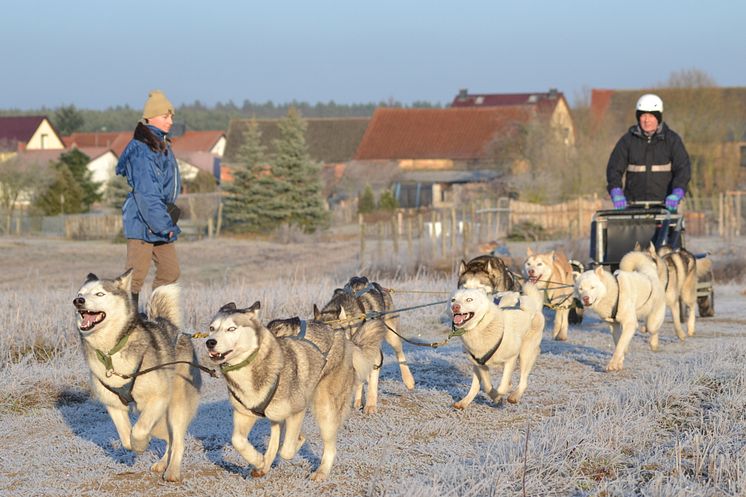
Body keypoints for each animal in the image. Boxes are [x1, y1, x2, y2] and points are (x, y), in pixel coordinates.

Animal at [72, 270, 201, 482]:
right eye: (80, 293)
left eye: (100, 294)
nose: (78, 301)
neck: (110, 352)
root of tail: (173, 327)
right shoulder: (113, 405)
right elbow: (126, 438)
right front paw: (134, 444)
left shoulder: (158, 397)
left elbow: (139, 431)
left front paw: (141, 444)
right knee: (168, 437)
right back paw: (162, 463)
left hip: (176, 405)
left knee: (177, 440)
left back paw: (172, 471)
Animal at [206, 300, 340, 478]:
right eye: (211, 328)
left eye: (231, 329)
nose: (210, 342)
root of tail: (327, 326)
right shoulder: (244, 413)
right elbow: (237, 441)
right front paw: (258, 460)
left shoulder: (297, 410)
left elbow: (287, 450)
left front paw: (295, 442)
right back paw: (264, 464)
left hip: (324, 407)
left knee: (329, 443)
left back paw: (322, 472)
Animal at [316, 276, 412, 414]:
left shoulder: (374, 355)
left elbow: (372, 382)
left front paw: (370, 405)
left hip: (391, 335)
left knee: (399, 353)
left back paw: (408, 380)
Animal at [444, 280, 544, 408]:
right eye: (453, 300)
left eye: (469, 299)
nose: (455, 307)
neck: (480, 326)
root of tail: (532, 302)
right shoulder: (479, 364)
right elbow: (486, 386)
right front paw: (495, 397)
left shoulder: (511, 359)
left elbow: (502, 387)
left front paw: (498, 396)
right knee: (476, 386)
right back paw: (463, 402)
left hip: (526, 353)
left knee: (523, 380)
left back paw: (514, 396)